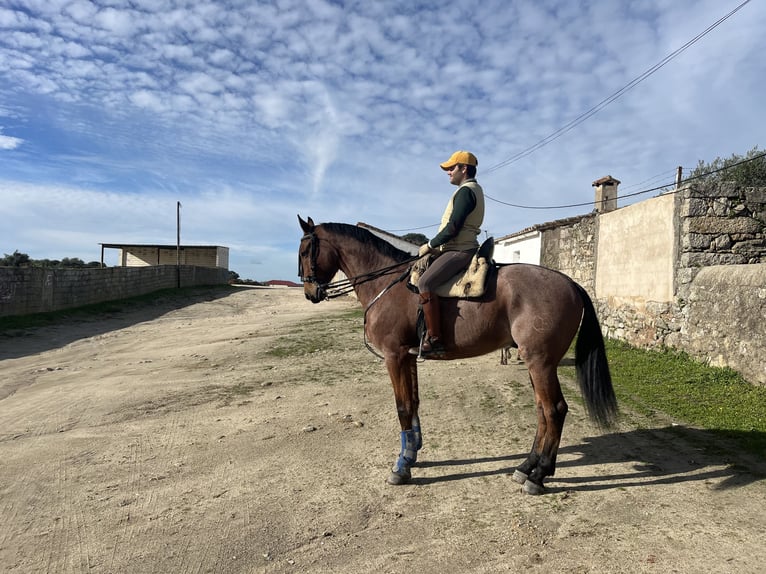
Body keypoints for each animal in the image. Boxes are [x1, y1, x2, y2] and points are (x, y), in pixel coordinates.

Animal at [296, 216, 620, 496]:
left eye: (304, 250)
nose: (310, 292)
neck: (387, 285)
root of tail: (570, 283)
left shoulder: (394, 356)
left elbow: (402, 407)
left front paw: (401, 467)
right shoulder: (409, 357)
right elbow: (414, 402)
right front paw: (412, 452)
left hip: (540, 363)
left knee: (555, 410)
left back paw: (539, 476)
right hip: (537, 364)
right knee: (543, 410)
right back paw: (526, 466)